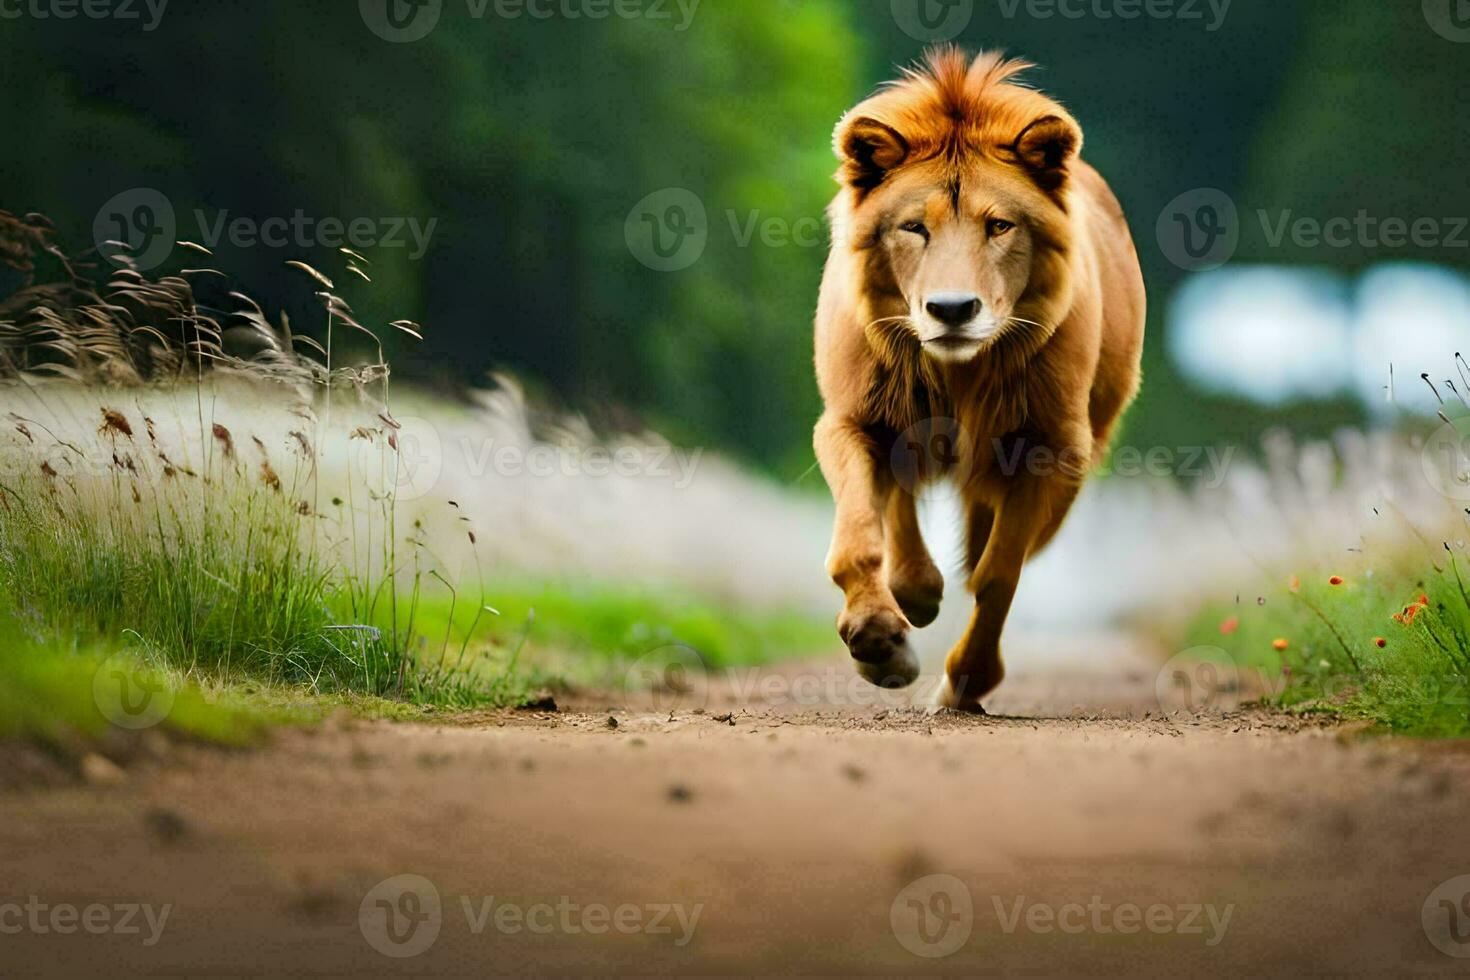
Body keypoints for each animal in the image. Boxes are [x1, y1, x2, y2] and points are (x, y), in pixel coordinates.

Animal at [817, 45, 1146, 708]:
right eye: (914, 227)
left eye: (999, 225)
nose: (951, 309)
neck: (959, 373)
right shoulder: (848, 421)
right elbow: (858, 541)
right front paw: (878, 640)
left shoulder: (1046, 448)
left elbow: (997, 576)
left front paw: (966, 679)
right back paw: (914, 596)